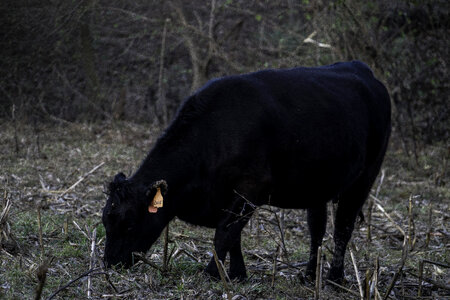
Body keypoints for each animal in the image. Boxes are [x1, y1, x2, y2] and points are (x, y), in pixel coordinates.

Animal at [102, 61, 390, 284]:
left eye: (129, 224)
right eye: (106, 220)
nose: (110, 263)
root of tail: (361, 68)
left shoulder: (250, 187)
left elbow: (225, 232)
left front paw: (213, 273)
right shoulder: (224, 196)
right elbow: (234, 235)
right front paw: (237, 274)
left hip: (365, 176)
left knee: (343, 227)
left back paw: (334, 278)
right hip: (317, 183)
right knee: (316, 229)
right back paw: (309, 275)